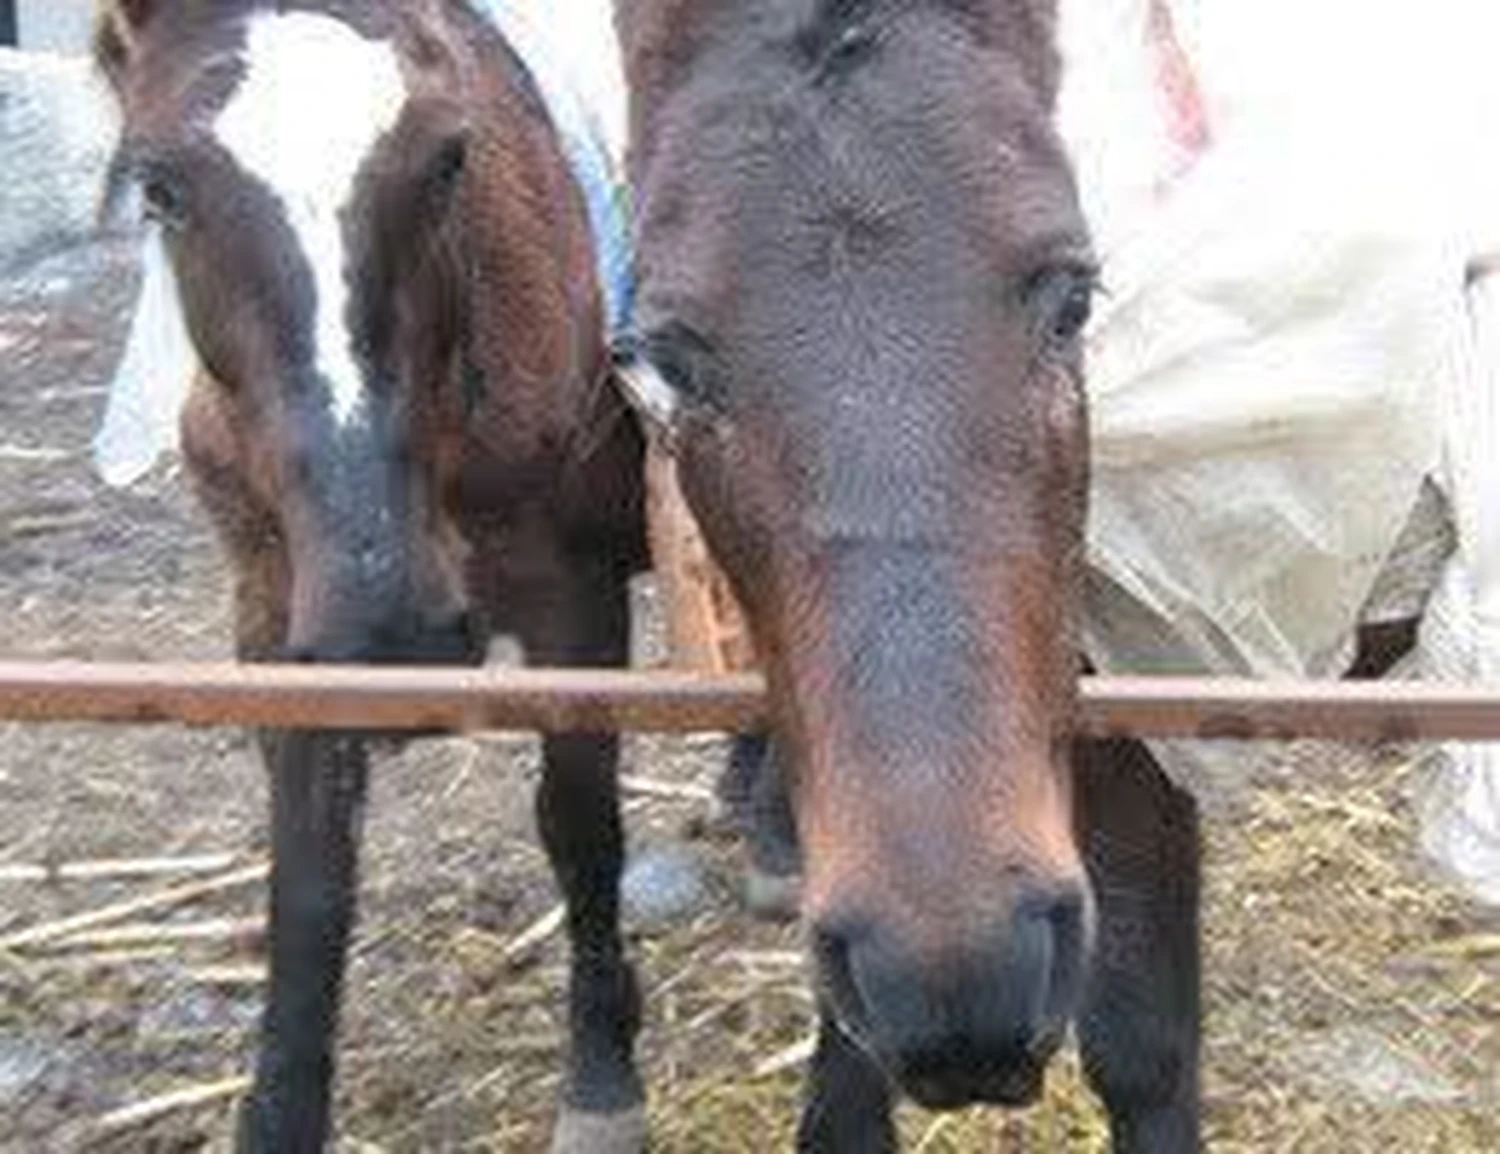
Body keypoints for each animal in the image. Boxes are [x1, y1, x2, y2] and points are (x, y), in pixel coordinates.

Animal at [94, 2, 650, 1149]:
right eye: (160, 187)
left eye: (447, 160)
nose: (390, 629)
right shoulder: (279, 622)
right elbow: (308, 887)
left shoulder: (577, 599)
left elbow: (579, 822)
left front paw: (602, 1072)